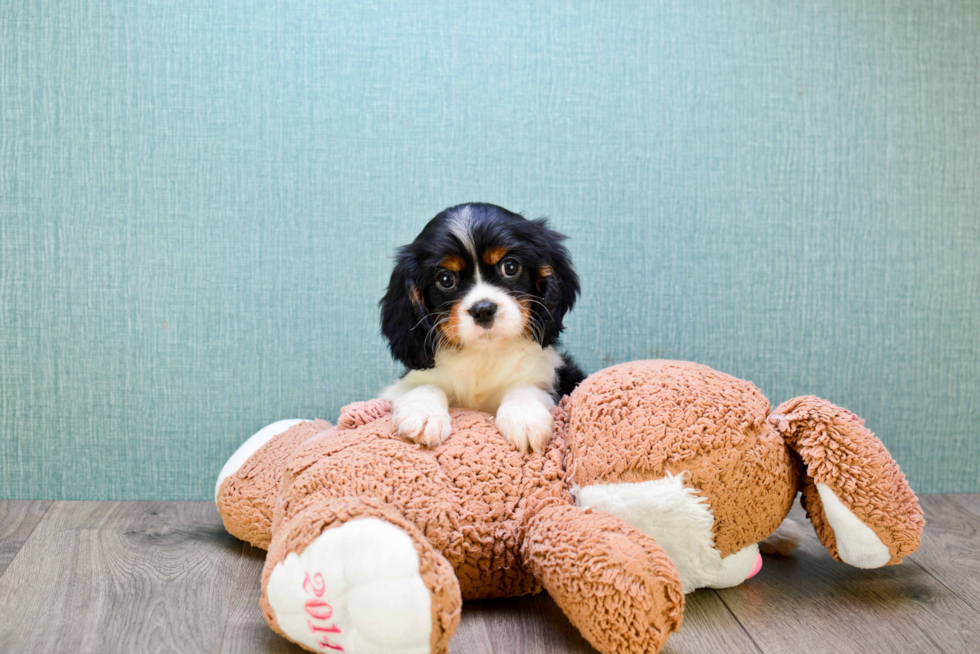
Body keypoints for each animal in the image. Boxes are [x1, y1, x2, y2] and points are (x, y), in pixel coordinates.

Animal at [380, 202, 580, 454]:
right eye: (445, 279)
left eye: (510, 267)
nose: (483, 309)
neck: (484, 353)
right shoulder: (399, 387)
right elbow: (425, 385)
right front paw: (423, 415)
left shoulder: (553, 379)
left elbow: (525, 386)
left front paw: (524, 417)